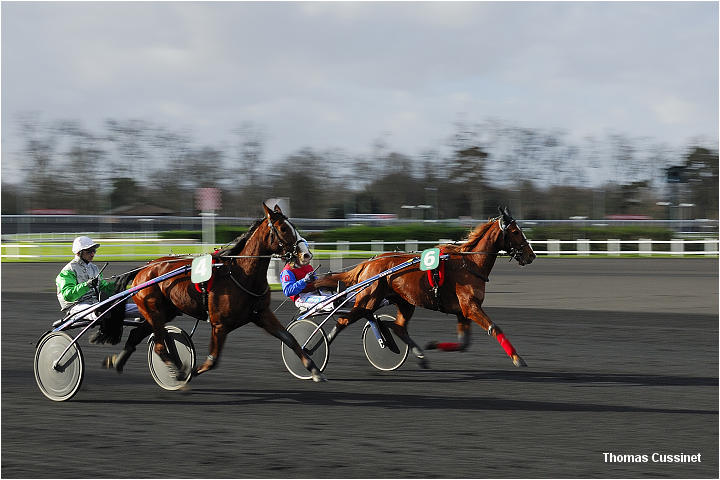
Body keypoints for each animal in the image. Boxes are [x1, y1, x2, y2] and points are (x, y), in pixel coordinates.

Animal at [102, 202, 328, 382]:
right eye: (283, 228)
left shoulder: (262, 314)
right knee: (158, 346)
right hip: (153, 310)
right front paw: (189, 372)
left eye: (294, 226)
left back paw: (118, 361)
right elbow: (213, 360)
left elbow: (290, 339)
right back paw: (178, 369)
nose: (306, 254)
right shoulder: (219, 325)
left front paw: (314, 370)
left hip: (164, 312)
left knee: (137, 334)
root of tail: (143, 269)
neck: (242, 274)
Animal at [316, 205, 536, 368]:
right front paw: (517, 358)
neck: (470, 263)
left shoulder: (462, 311)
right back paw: (316, 349)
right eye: (516, 231)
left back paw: (420, 356)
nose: (531, 255)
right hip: (367, 301)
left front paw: (434, 344)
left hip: (404, 302)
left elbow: (464, 344)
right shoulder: (470, 306)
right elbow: (494, 327)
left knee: (398, 327)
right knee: (344, 320)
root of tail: (368, 263)